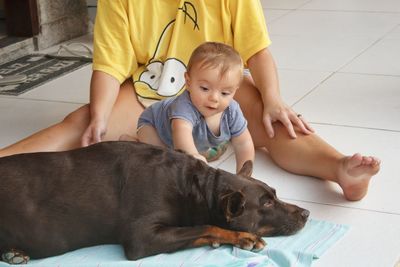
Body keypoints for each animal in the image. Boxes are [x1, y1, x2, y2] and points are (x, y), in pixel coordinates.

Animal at [0, 142, 310, 264]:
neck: (193, 186)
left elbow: (200, 229)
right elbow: (205, 226)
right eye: (266, 204)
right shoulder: (141, 237)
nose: (307, 213)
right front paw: (243, 236)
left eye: (275, 193)